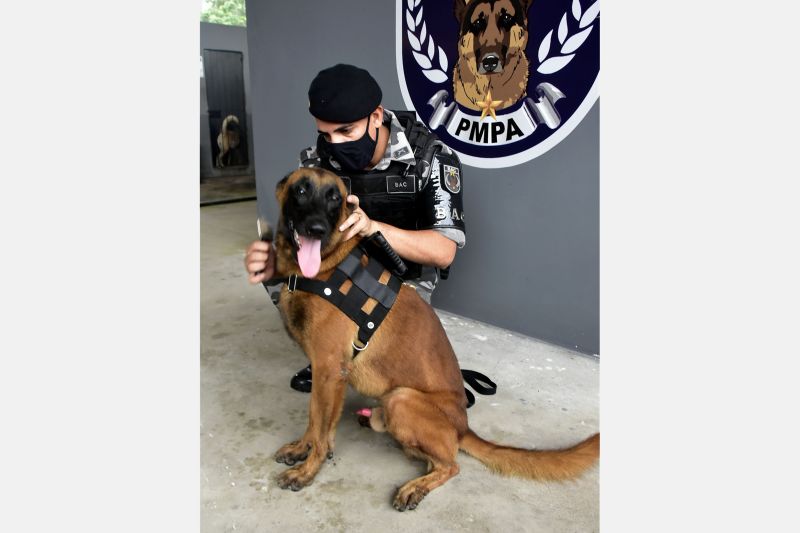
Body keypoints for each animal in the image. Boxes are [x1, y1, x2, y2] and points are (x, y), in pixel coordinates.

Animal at [272, 168, 596, 510]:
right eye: (301, 190)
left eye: (334, 197)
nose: (317, 228)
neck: (326, 266)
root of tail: (463, 427)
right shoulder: (324, 373)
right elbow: (314, 419)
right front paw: (302, 448)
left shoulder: (330, 370)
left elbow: (321, 430)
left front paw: (307, 470)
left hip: (401, 399)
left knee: (450, 464)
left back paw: (416, 486)